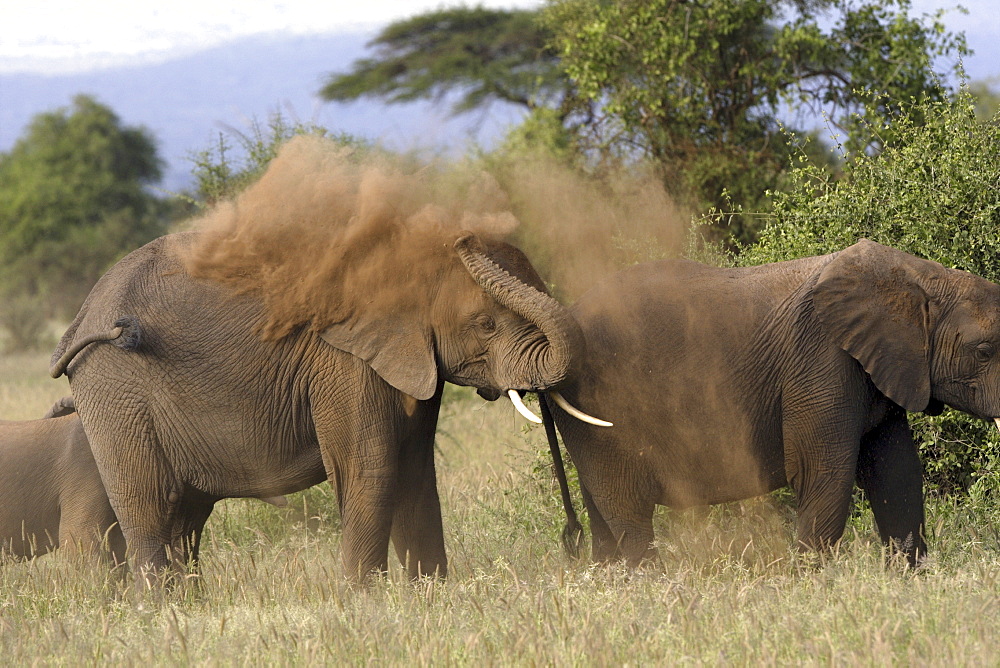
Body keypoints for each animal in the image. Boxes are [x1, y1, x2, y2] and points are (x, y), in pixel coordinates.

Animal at [544, 237, 1000, 568]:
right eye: (984, 352)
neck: (919, 276)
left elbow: (896, 473)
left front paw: (909, 581)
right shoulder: (821, 362)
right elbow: (824, 474)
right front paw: (813, 587)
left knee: (603, 512)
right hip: (603, 411)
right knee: (628, 510)